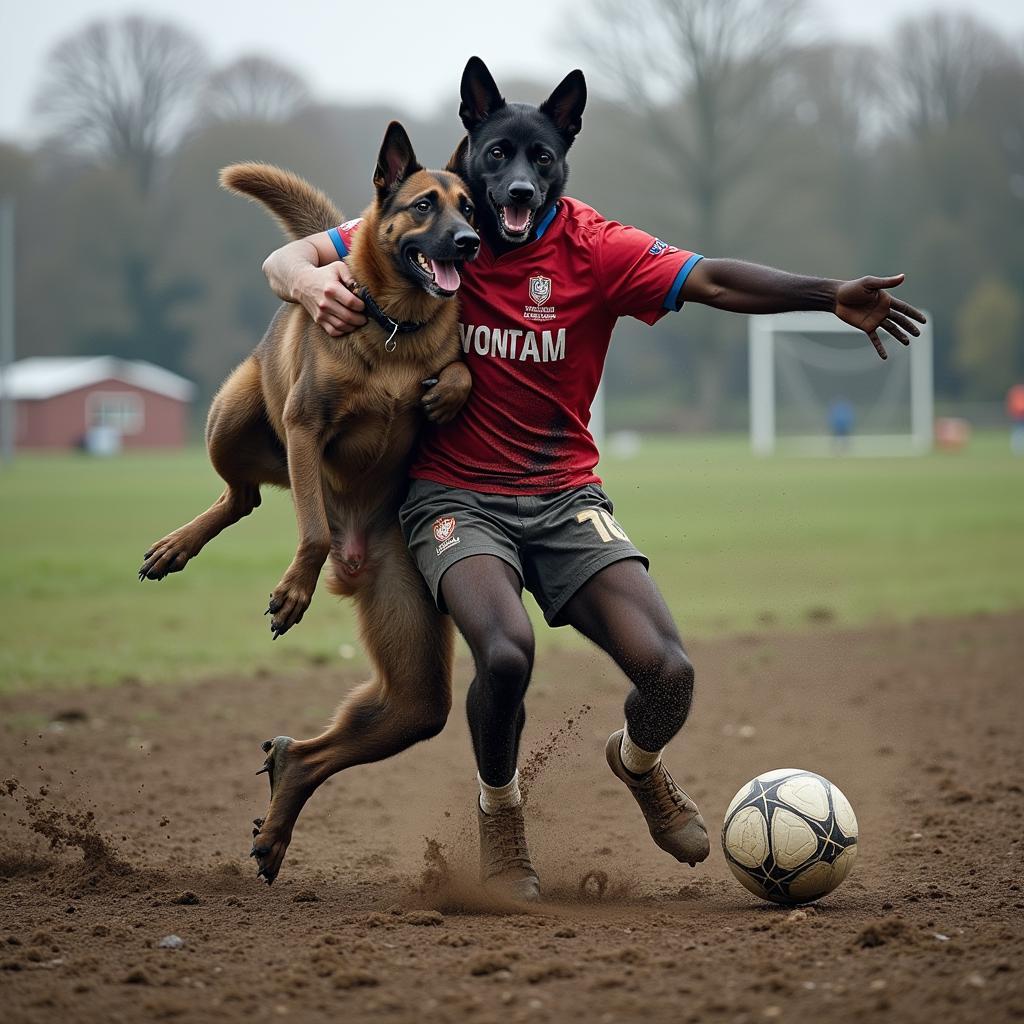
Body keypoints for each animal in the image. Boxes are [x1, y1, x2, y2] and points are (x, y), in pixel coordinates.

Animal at [138, 121, 481, 888]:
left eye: (470, 207)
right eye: (424, 205)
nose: (471, 242)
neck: (397, 328)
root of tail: (358, 569)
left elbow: (460, 374)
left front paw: (448, 388)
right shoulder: (303, 429)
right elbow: (314, 529)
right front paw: (294, 590)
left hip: (413, 677)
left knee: (316, 752)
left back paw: (278, 822)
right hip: (232, 416)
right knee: (239, 495)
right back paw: (179, 545)